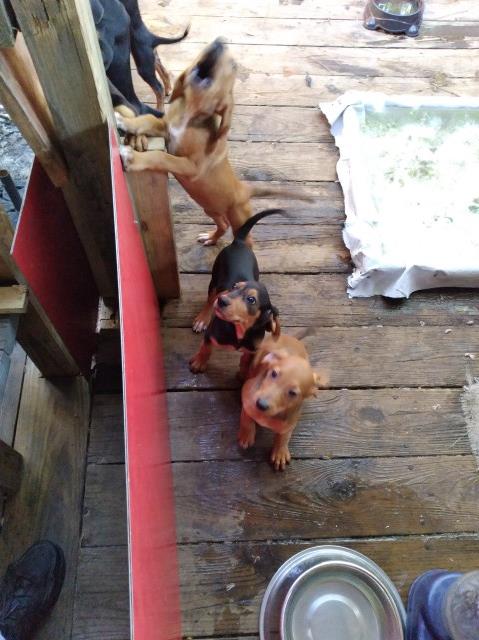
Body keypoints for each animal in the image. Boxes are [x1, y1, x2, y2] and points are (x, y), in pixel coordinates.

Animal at [189, 208, 284, 378]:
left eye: (251, 299)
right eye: (234, 287)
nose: (222, 300)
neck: (239, 329)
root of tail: (238, 242)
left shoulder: (252, 349)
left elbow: (246, 360)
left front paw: (245, 375)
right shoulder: (211, 334)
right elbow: (206, 348)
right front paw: (199, 363)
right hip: (215, 280)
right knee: (209, 299)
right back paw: (202, 319)